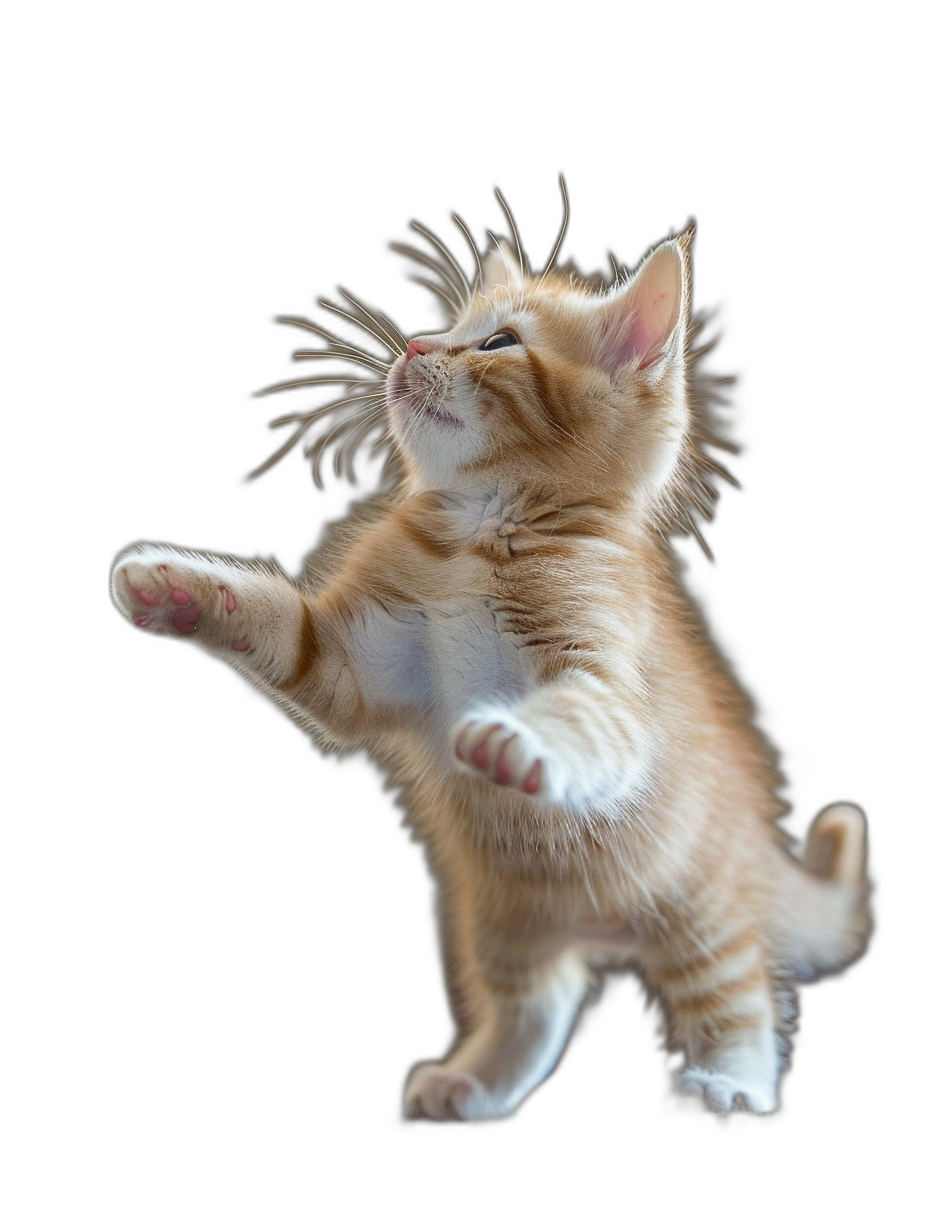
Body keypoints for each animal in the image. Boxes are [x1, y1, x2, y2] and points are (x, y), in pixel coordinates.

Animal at [108, 189, 867, 1118]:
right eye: (446, 325)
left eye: (499, 342)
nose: (413, 345)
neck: (477, 540)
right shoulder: (351, 663)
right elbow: (279, 624)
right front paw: (173, 586)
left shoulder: (610, 689)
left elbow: (586, 720)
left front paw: (517, 739)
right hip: (499, 922)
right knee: (543, 1002)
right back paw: (476, 1083)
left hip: (699, 906)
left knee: (743, 990)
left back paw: (732, 1080)